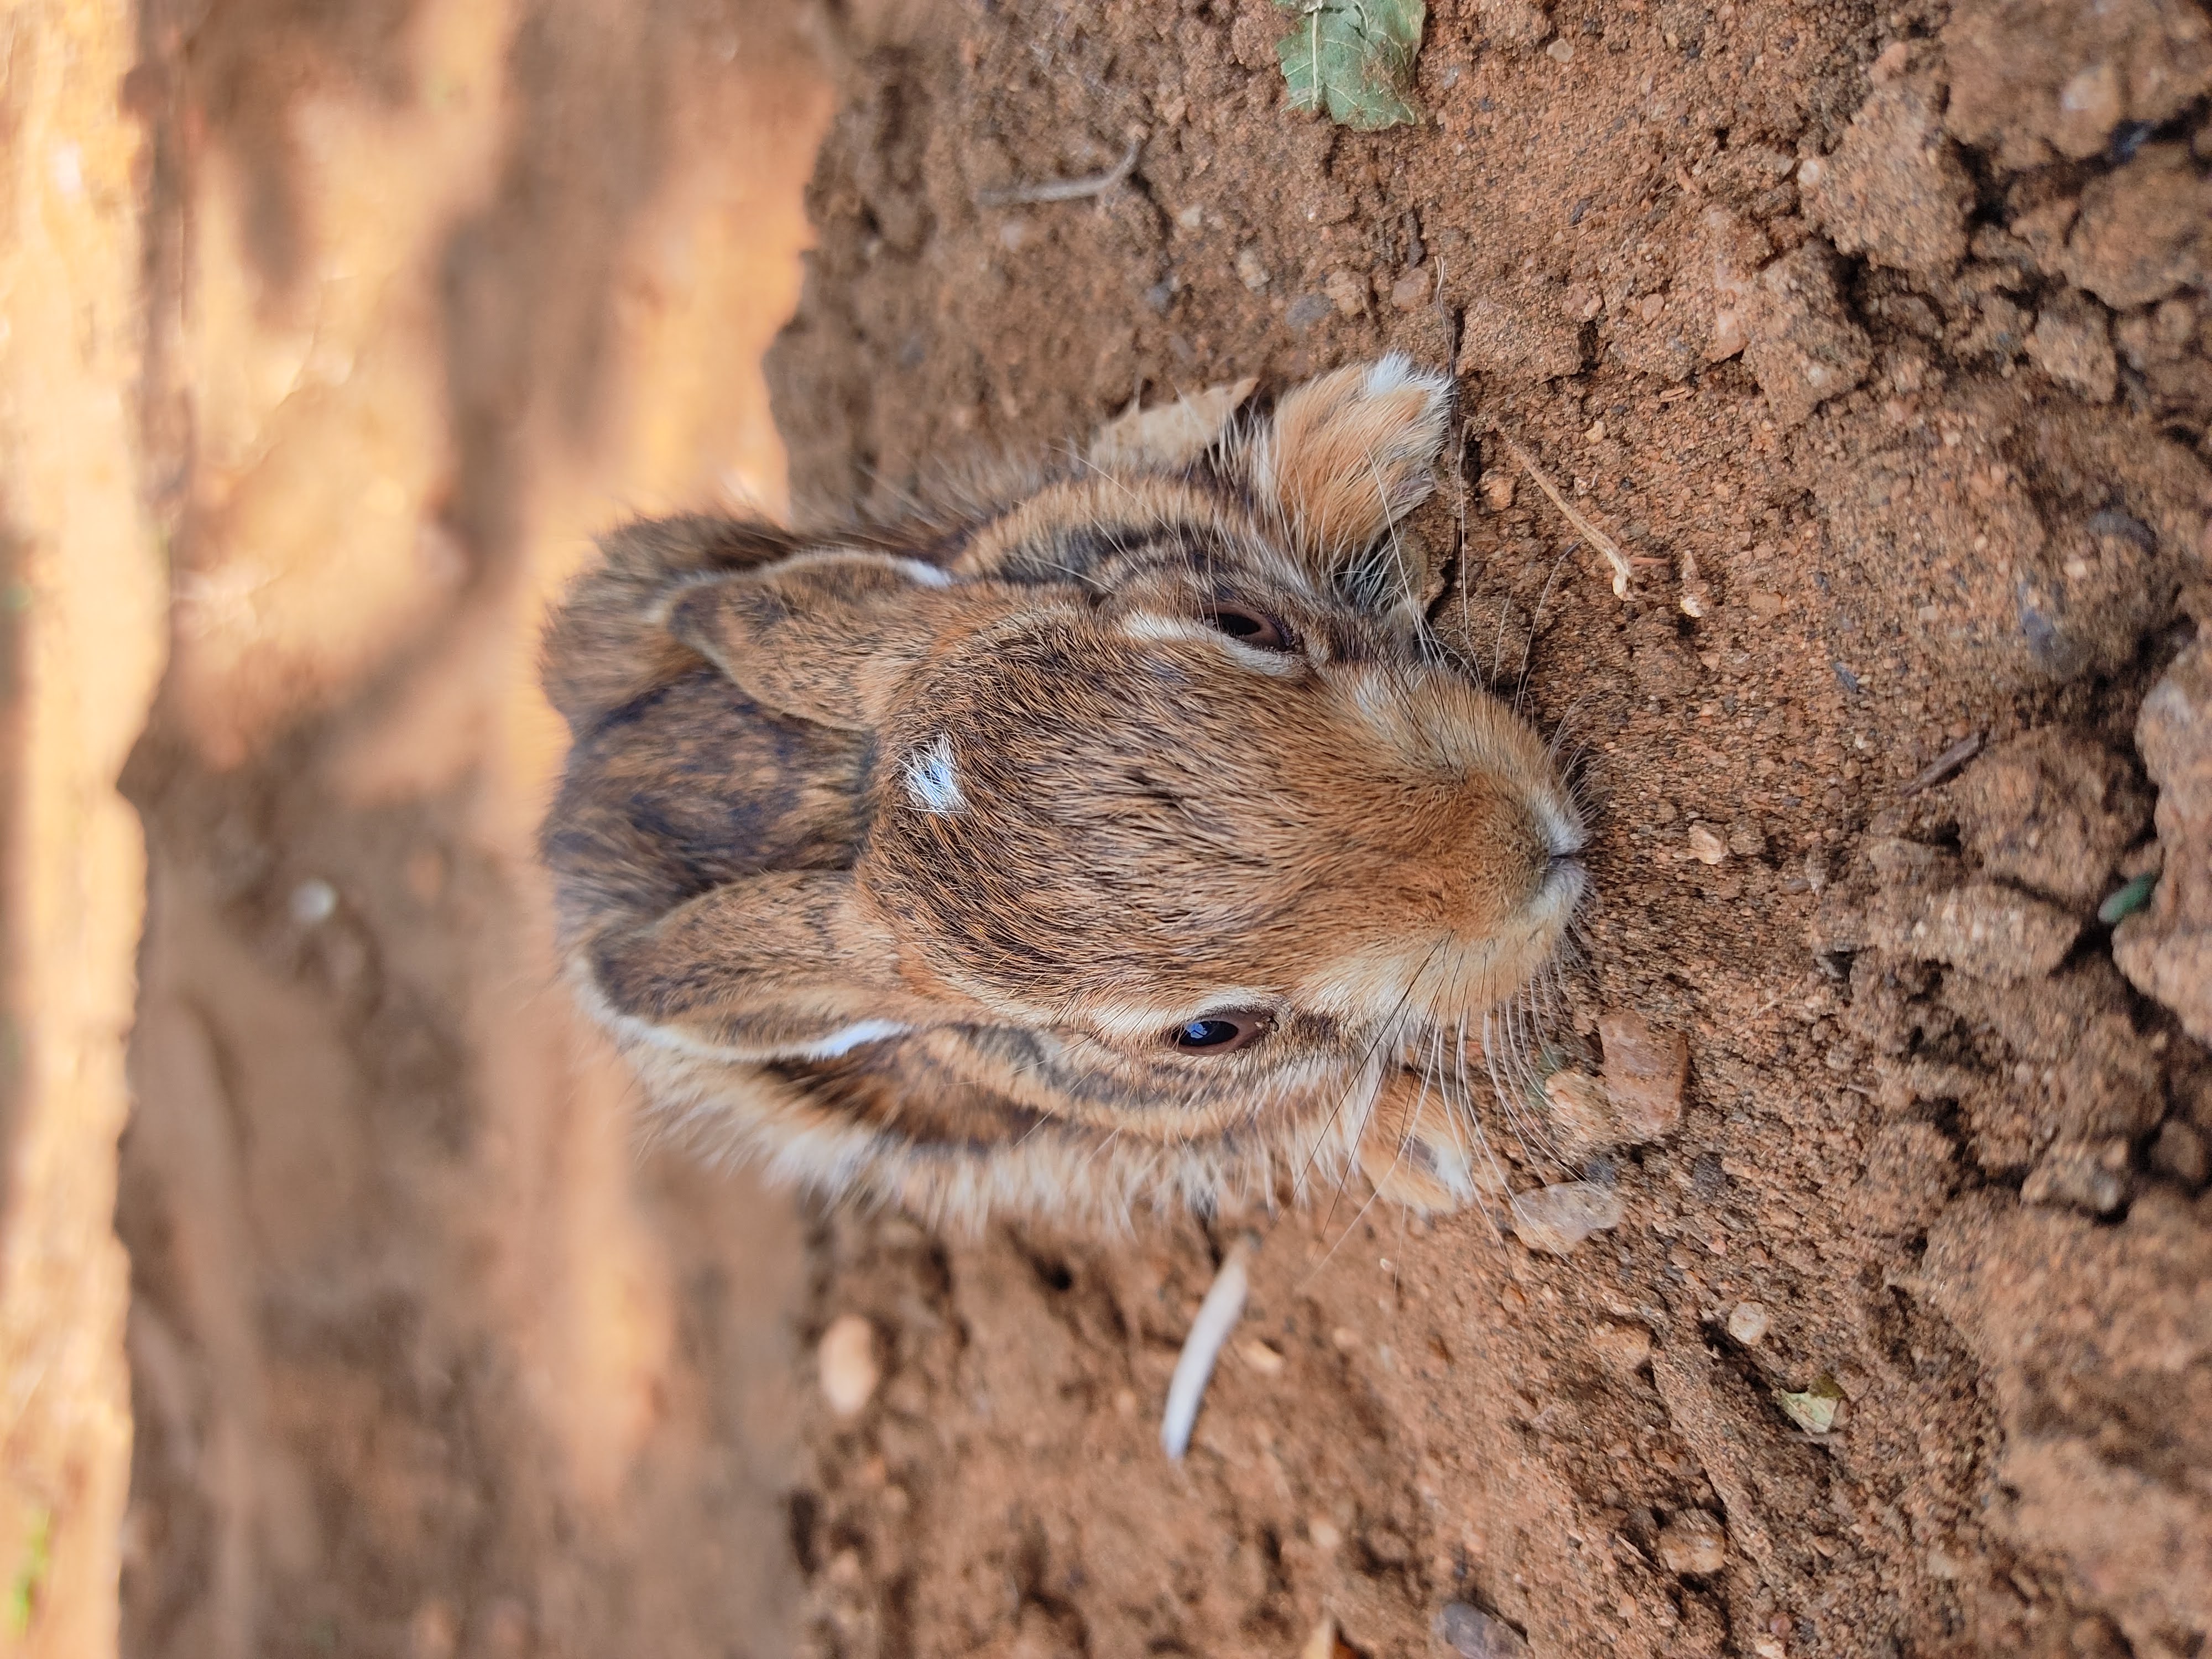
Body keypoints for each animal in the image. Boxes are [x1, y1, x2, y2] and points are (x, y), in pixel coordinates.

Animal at [539, 356, 1588, 1230]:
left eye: (1241, 623)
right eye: (1209, 1034)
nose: (1531, 847)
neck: (866, 805)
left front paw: (1381, 413)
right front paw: (1435, 1154)